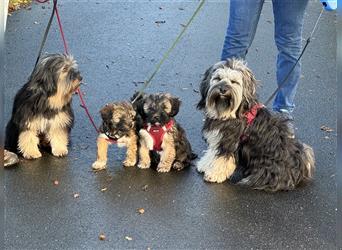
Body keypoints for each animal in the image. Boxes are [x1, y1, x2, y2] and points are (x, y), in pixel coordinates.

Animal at [196, 58, 314, 191]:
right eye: (218, 78)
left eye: (234, 82)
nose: (223, 90)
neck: (227, 112)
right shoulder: (217, 137)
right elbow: (212, 152)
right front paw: (204, 164)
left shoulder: (228, 142)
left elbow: (222, 159)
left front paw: (214, 174)